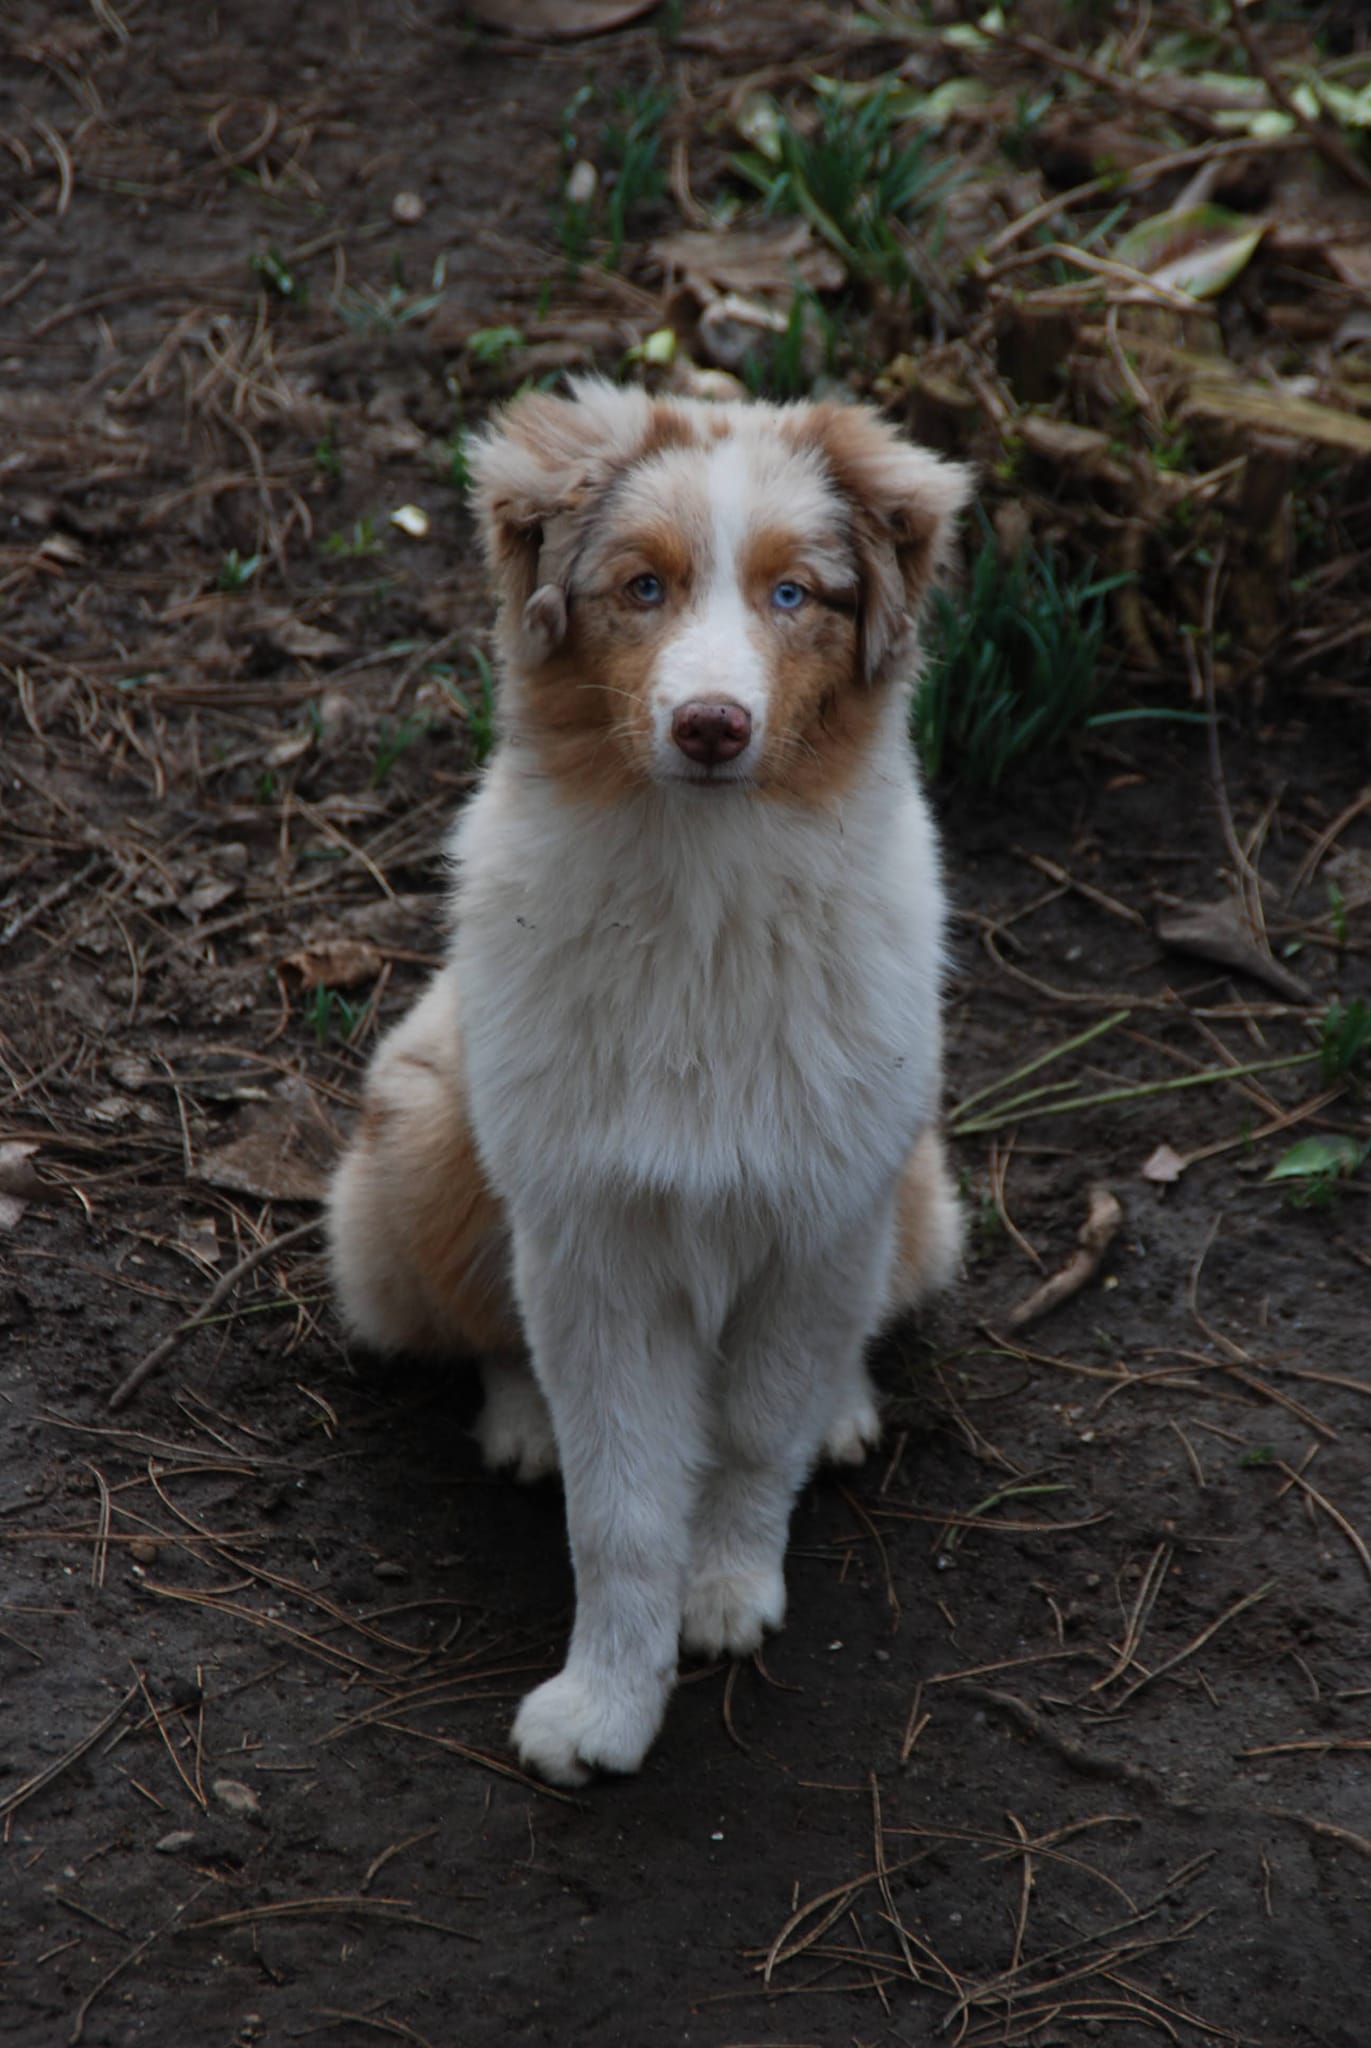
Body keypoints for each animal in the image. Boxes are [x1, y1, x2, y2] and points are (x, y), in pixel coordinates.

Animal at [327, 376, 971, 1785]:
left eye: (793, 593)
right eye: (641, 586)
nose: (712, 725)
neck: (704, 894)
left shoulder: (814, 1214)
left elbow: (753, 1434)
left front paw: (724, 1590)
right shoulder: (593, 1237)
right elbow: (616, 1506)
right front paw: (603, 1706)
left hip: (915, 1190)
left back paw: (844, 1406)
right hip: (422, 1133)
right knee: (487, 1326)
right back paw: (523, 1420)